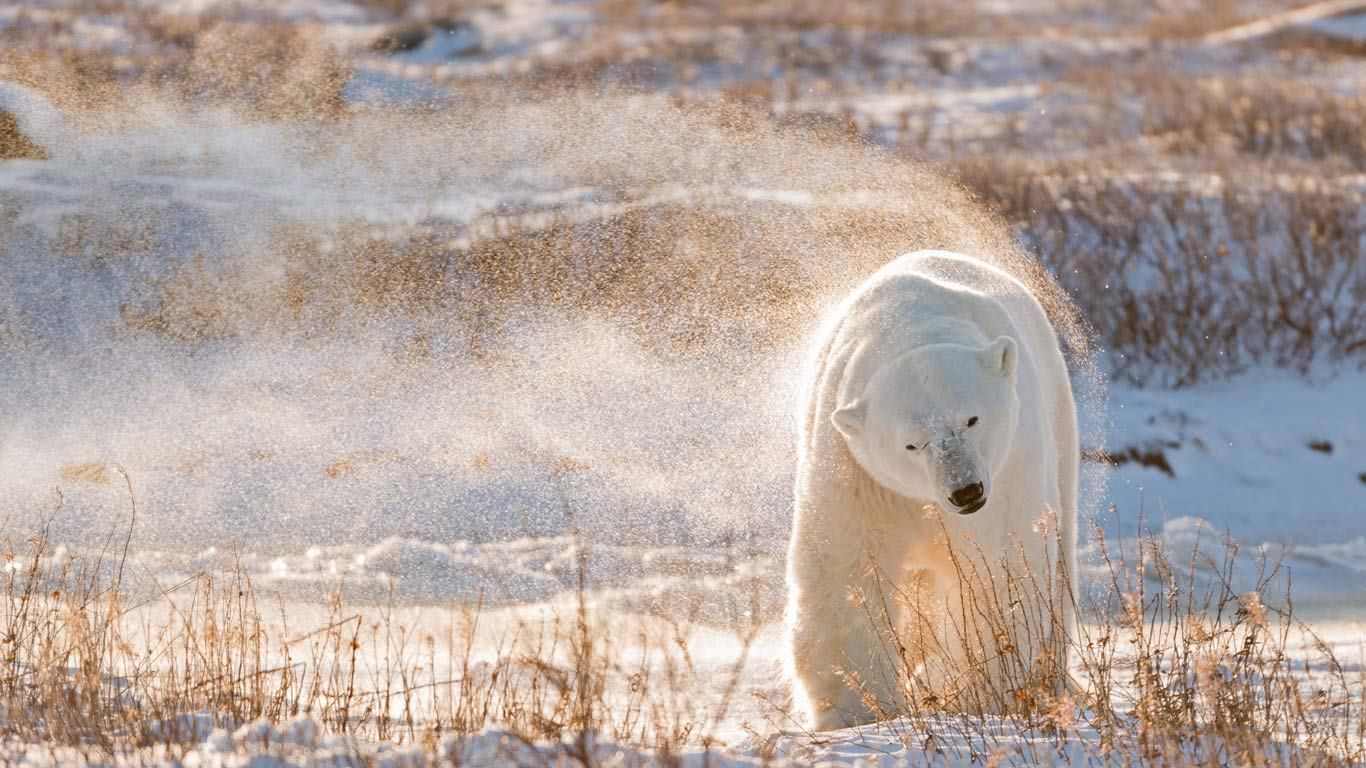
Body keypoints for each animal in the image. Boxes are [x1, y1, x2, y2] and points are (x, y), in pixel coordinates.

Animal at [785, 250, 1079, 731]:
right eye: (911, 443)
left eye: (971, 419)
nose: (966, 491)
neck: (911, 325)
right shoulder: (857, 473)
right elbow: (848, 571)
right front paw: (855, 710)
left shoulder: (1010, 465)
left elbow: (997, 568)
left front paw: (981, 689)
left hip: (1058, 422)